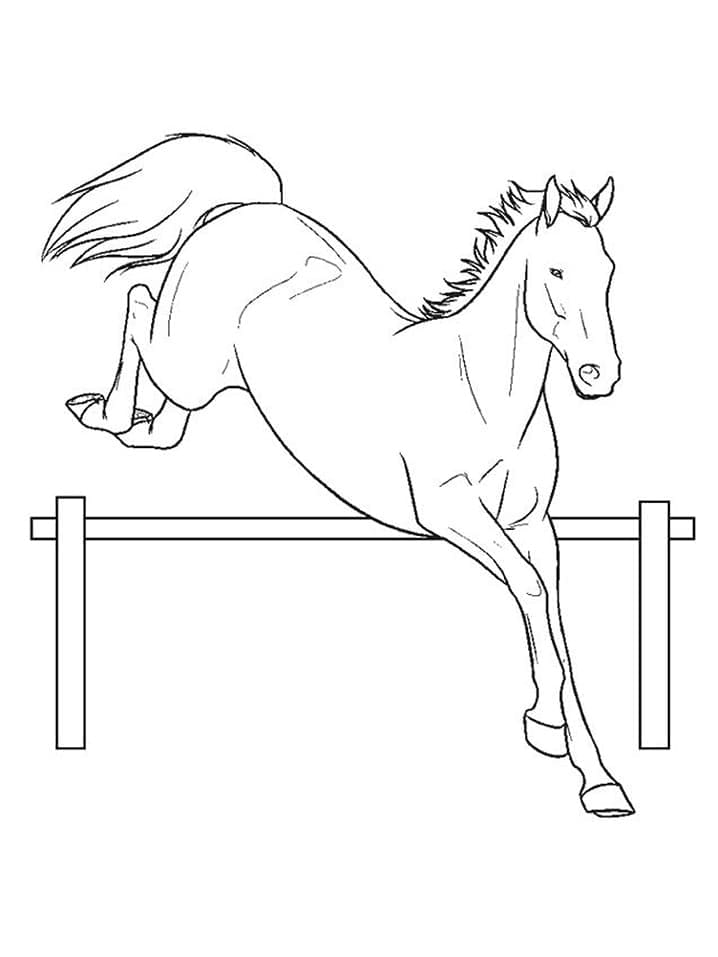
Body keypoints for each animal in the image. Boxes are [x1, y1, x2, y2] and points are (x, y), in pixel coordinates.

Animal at [43, 133, 632, 817]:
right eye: (556, 272)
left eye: (608, 271)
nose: (599, 375)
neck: (483, 397)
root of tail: (248, 206)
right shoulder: (451, 513)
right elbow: (533, 594)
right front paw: (561, 742)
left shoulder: (533, 523)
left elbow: (554, 617)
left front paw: (590, 769)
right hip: (183, 357)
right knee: (138, 303)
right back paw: (100, 412)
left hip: (202, 381)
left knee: (164, 424)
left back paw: (130, 420)